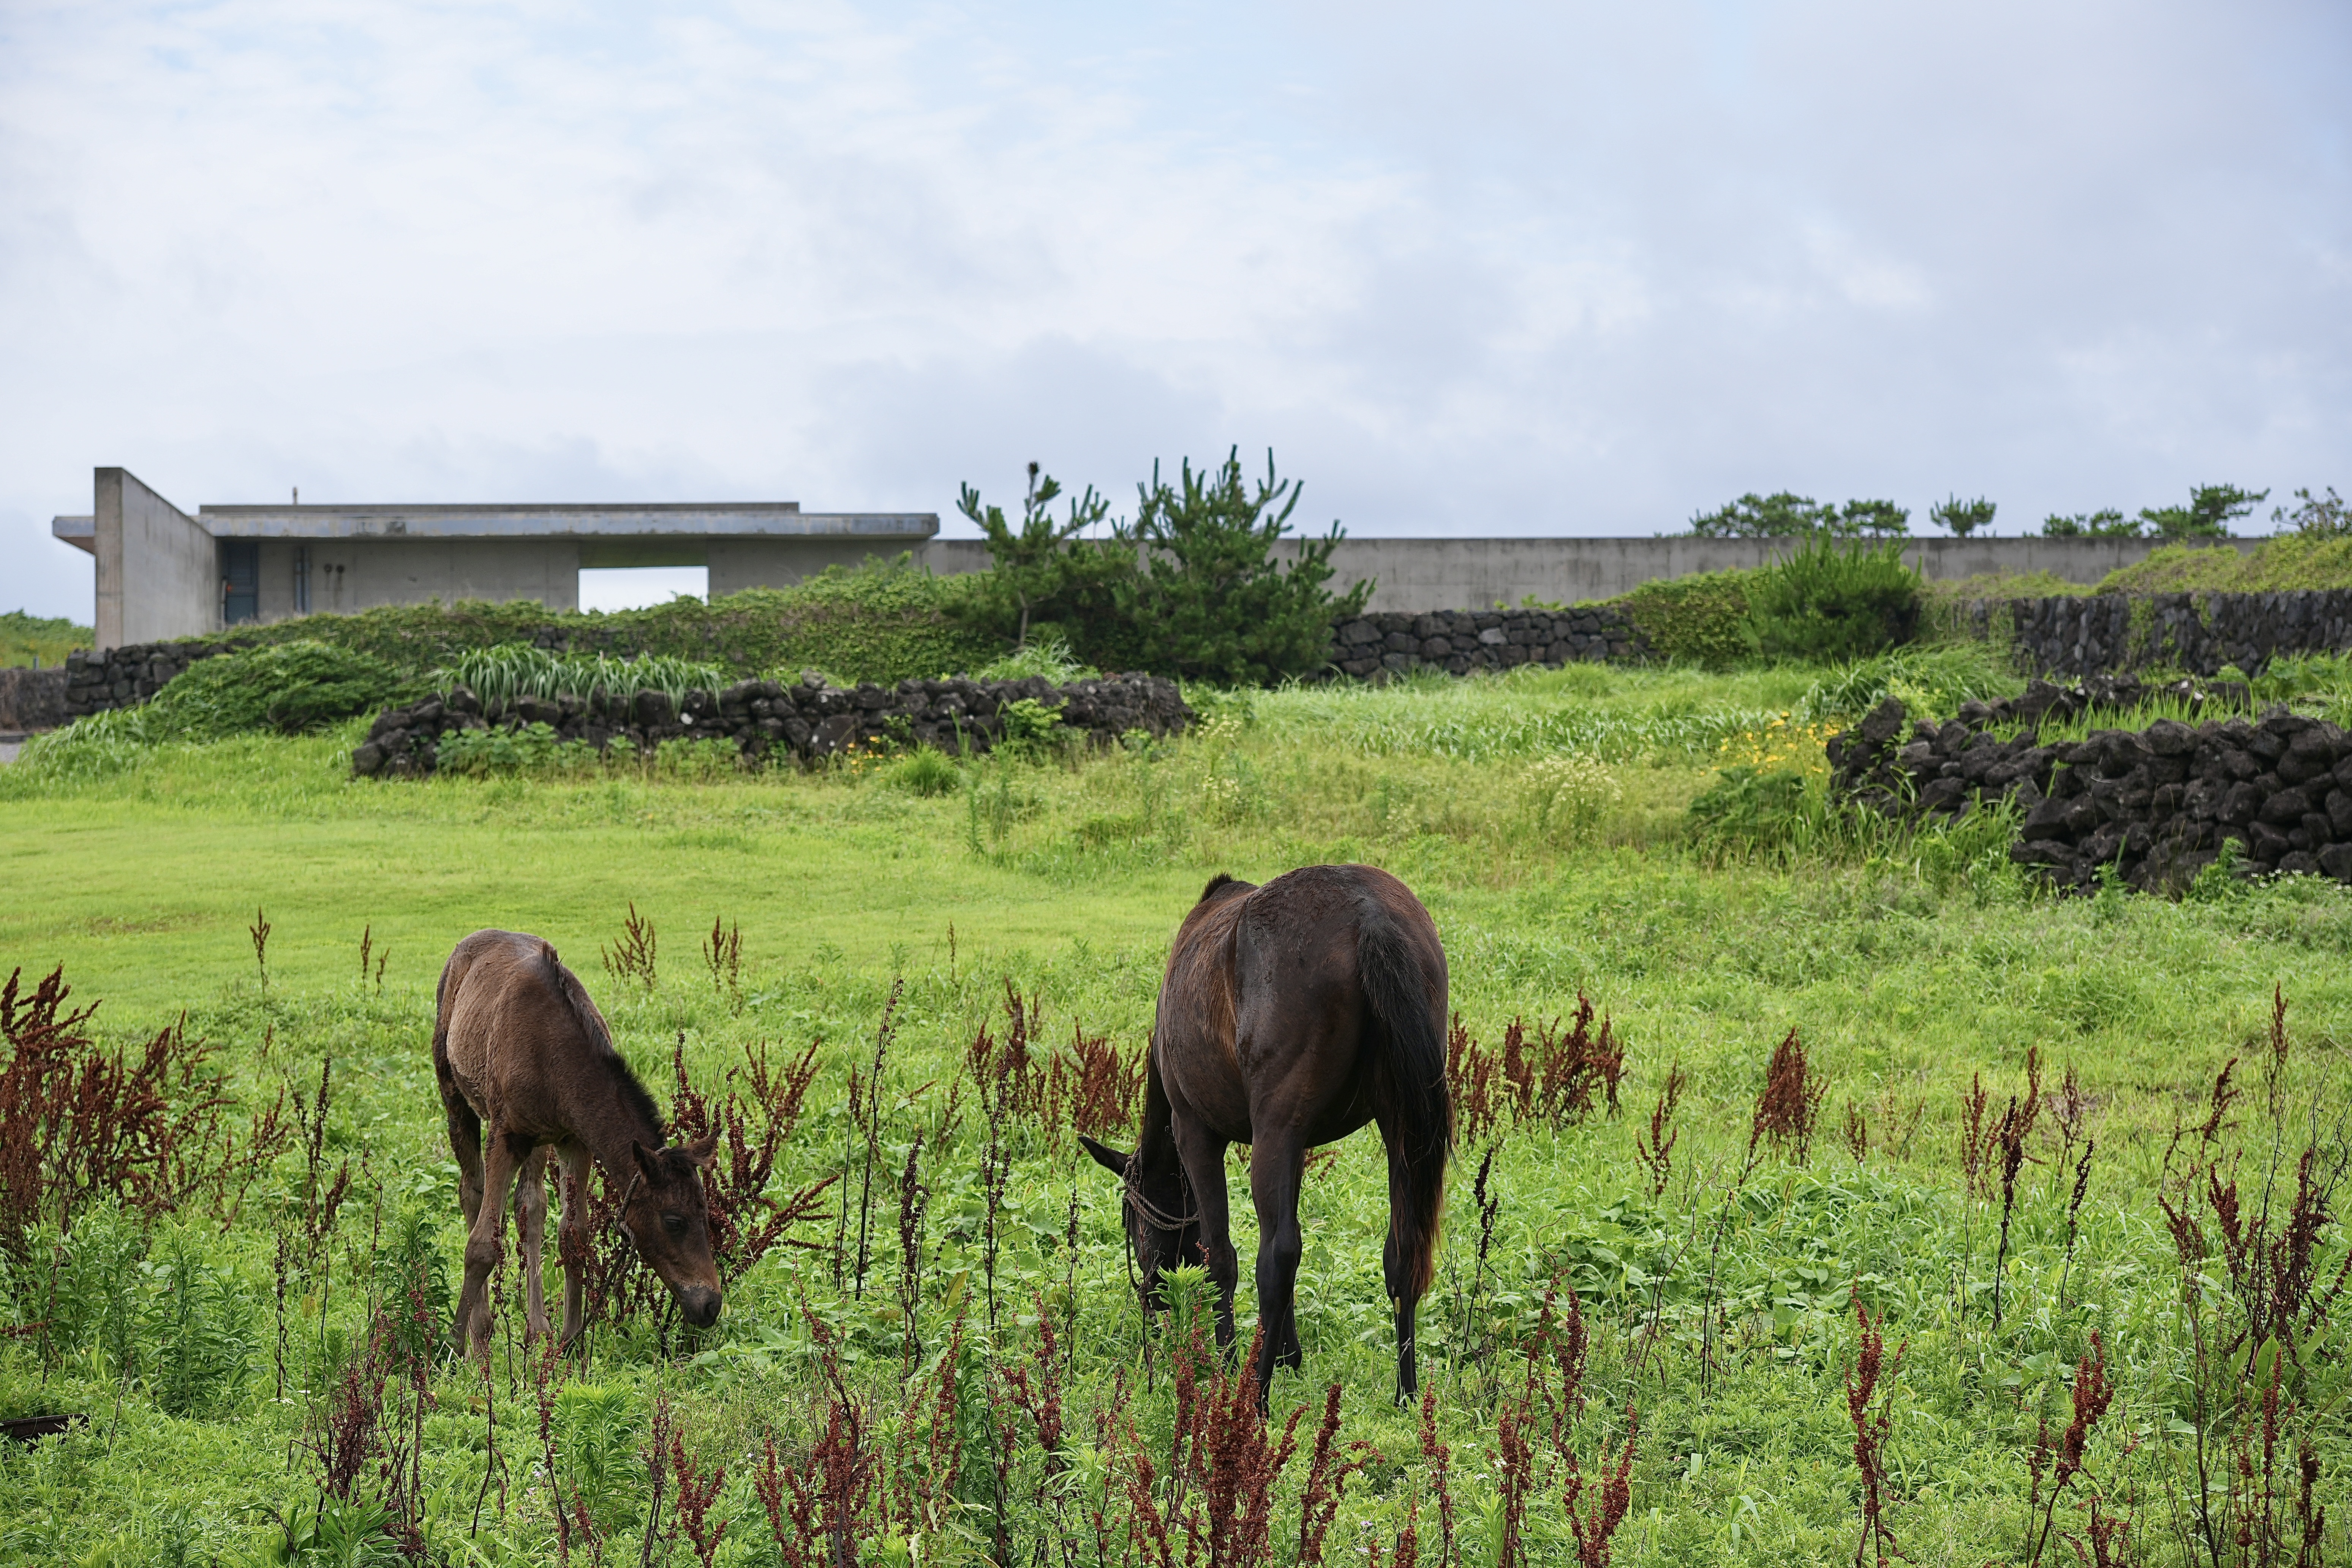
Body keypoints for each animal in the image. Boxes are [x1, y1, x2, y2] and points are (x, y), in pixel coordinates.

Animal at [435, 926, 719, 1354]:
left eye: (706, 1212)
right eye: (674, 1221)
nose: (711, 1305)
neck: (555, 1060)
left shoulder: (575, 1139)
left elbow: (573, 1237)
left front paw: (571, 1343)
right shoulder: (506, 1133)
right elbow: (482, 1245)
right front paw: (451, 1348)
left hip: (540, 1139)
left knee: (530, 1204)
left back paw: (537, 1330)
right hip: (455, 1094)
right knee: (472, 1191)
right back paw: (480, 1337)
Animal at [1082, 865, 1449, 1401]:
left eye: (1131, 1222)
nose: (1152, 1300)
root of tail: (1371, 915)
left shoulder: (1196, 1132)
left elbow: (1219, 1257)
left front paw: (1229, 1363)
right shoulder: (1297, 1147)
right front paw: (1287, 1355)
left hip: (1274, 1129)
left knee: (1276, 1257)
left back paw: (1253, 1397)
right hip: (1399, 1124)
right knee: (1400, 1252)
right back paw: (1406, 1395)